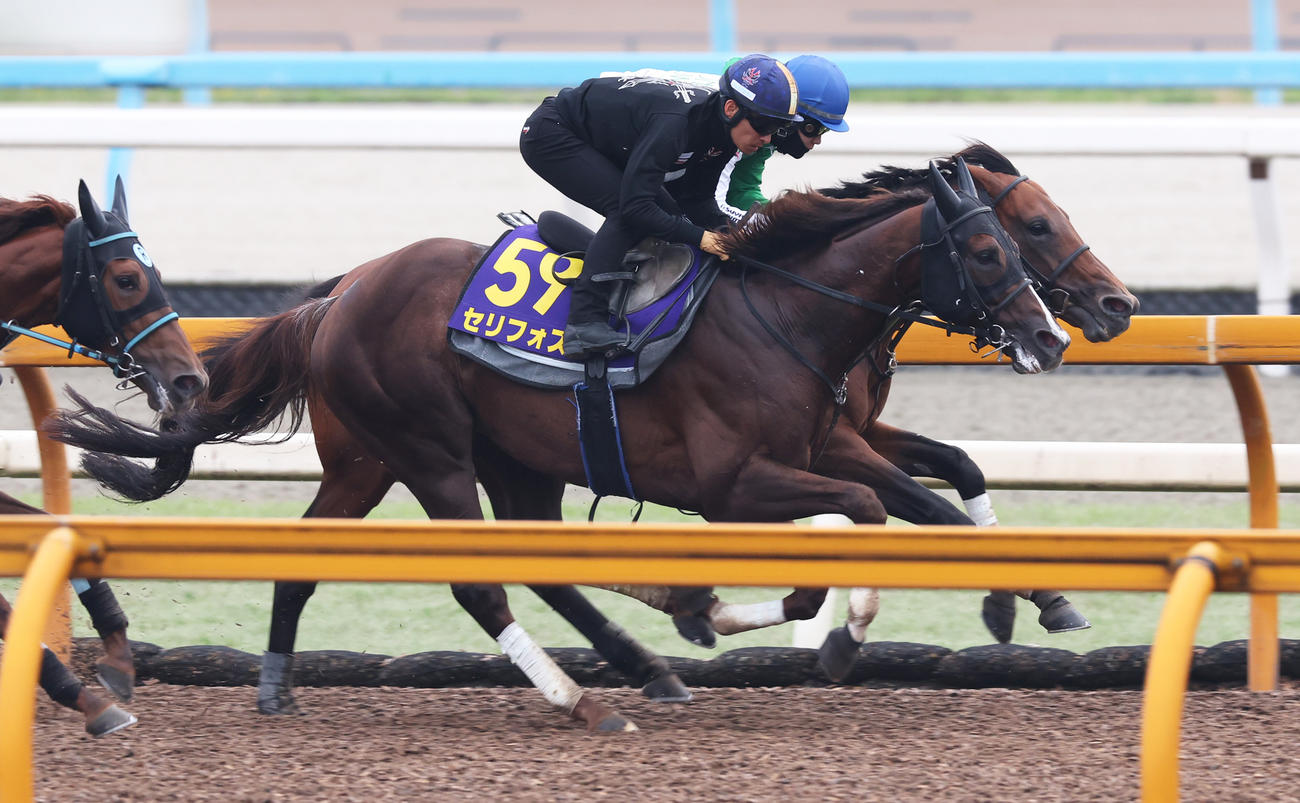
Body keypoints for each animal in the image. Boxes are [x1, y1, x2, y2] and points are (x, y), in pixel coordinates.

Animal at [47, 160, 1069, 731]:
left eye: (1023, 241)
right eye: (998, 249)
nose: (1052, 335)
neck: (785, 311)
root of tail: (338, 293)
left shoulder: (831, 444)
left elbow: (927, 496)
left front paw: (1030, 596)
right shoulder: (733, 482)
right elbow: (857, 521)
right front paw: (822, 633)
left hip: (414, 460)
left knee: (358, 554)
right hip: (430, 453)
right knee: (481, 581)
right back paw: (586, 697)